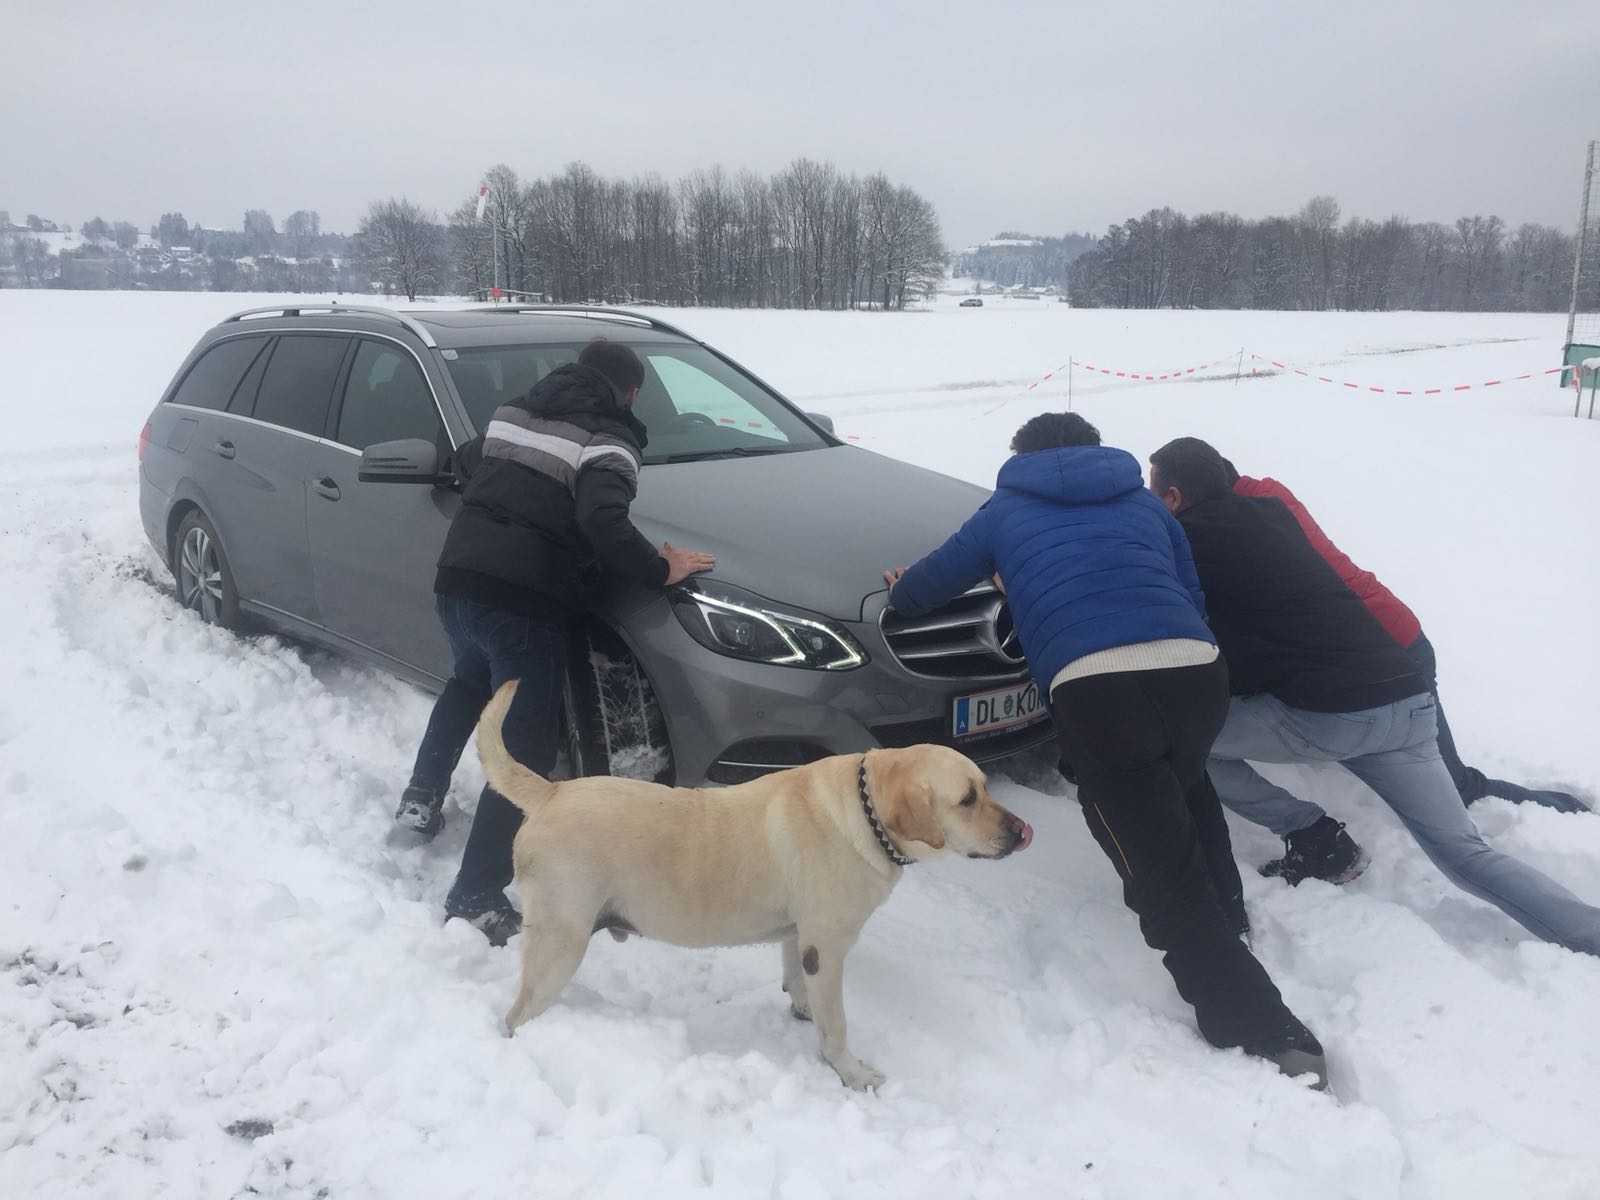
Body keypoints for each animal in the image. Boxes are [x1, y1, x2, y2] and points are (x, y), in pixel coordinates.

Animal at [474, 680, 1033, 1090]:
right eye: (966, 799)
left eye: (985, 787)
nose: (1022, 831)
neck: (865, 811)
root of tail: (551, 792)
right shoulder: (827, 947)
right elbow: (838, 1024)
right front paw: (851, 1073)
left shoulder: (798, 937)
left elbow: (799, 984)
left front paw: (802, 1011)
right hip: (560, 944)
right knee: (516, 1014)